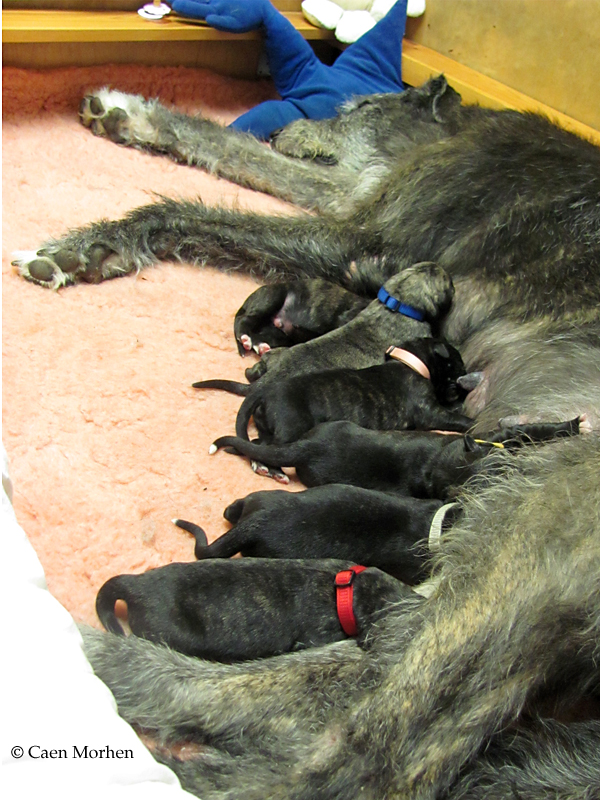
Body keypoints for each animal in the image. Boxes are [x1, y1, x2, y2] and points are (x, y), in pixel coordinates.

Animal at [195, 336, 476, 446]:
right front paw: (472, 421)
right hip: (290, 429)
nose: (467, 372)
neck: (411, 360)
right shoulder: (430, 412)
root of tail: (262, 392)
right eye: (458, 361)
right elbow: (454, 417)